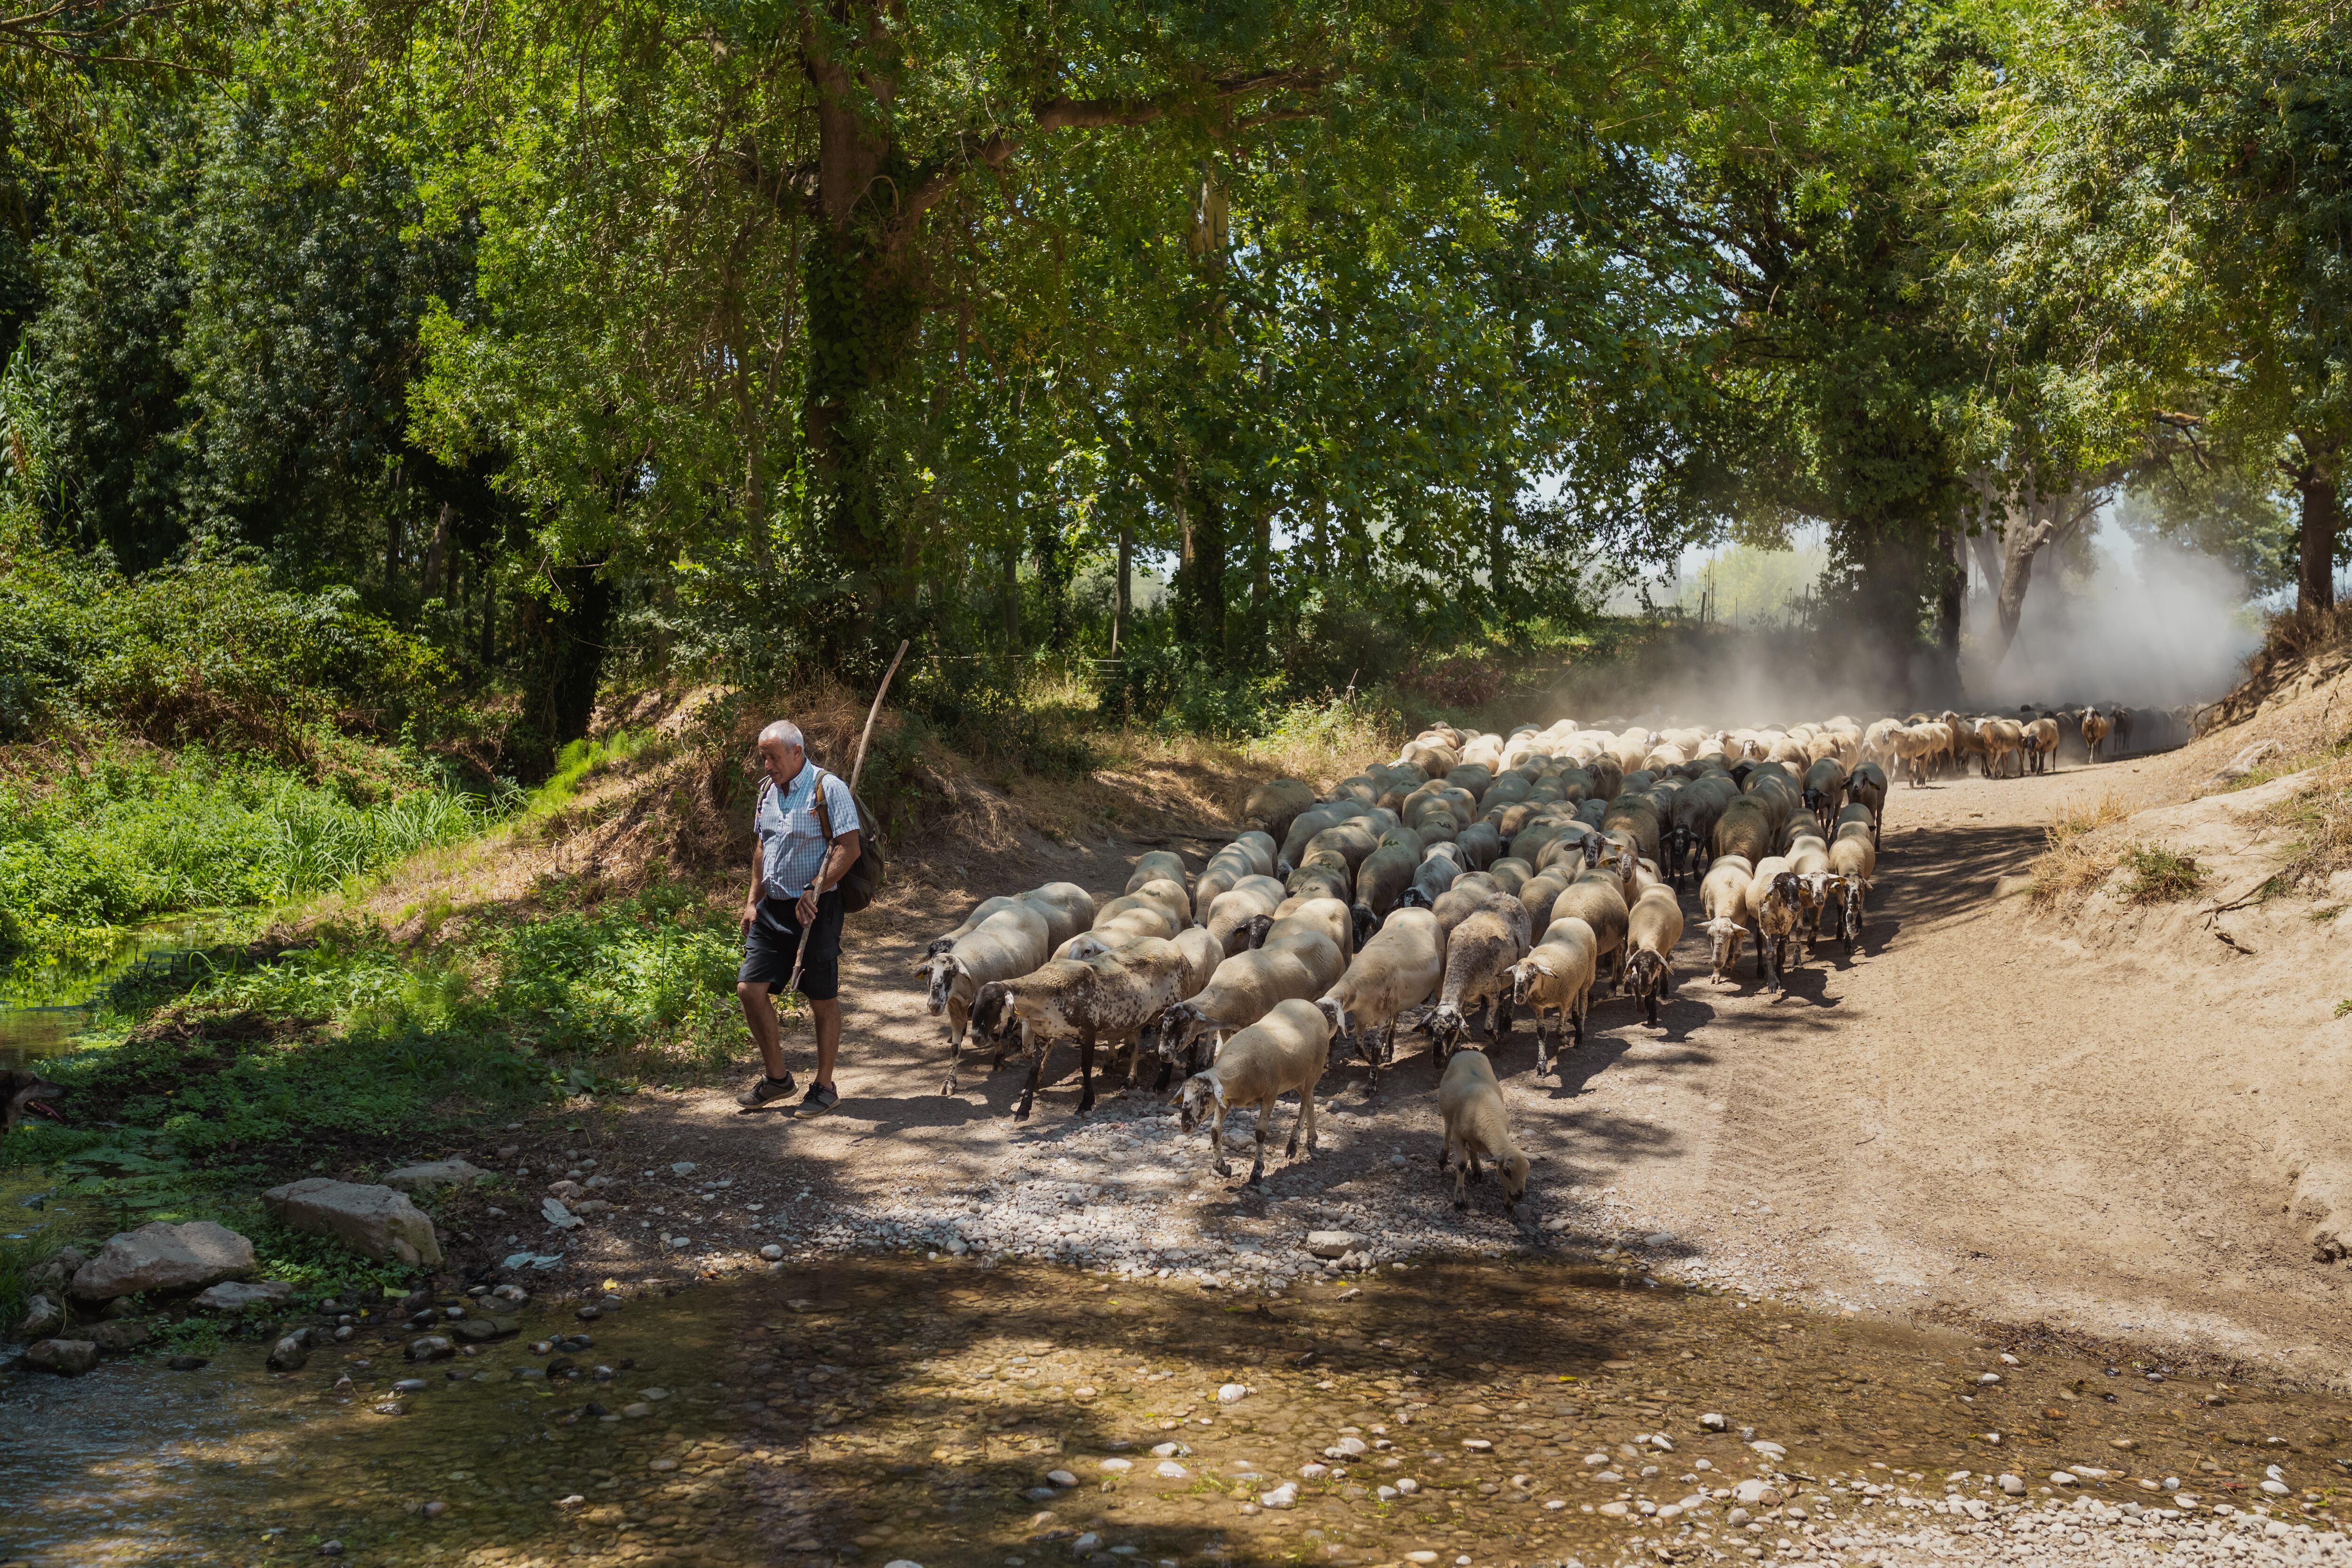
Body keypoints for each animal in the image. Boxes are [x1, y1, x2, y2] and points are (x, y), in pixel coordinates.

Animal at [1317, 907, 1439, 1081]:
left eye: (1329, 1018)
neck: (1357, 984)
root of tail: (1418, 908)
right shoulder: (1360, 1017)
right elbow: (1358, 1047)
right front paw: (1377, 1059)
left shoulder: (1384, 1018)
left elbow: (1375, 1049)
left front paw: (1374, 1076)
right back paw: (1389, 1051)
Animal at [1439, 1048, 1534, 1222]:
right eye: (1507, 1172)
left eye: (1527, 1171)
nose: (1518, 1197)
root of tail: (1468, 1051)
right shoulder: (1458, 1135)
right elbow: (1461, 1165)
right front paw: (1459, 1200)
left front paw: (1508, 1206)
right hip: (1448, 1114)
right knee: (1447, 1130)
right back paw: (1443, 1158)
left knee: (1473, 1148)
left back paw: (1477, 1169)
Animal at [1505, 912, 1599, 1072]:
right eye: (1514, 975)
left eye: (1534, 976)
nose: (1518, 997)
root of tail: (1573, 918)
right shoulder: (1537, 1006)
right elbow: (1541, 1033)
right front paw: (1541, 1064)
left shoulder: (1564, 1002)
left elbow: (1559, 1030)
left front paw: (1565, 1040)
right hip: (1576, 983)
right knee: (1576, 1000)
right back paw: (1576, 1021)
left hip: (1588, 976)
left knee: (1583, 1003)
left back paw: (1579, 1033)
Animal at [1628, 883, 1684, 1029]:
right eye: (1637, 964)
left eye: (1654, 964)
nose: (1644, 989)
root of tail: (1658, 884)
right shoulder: (1632, 951)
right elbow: (1634, 978)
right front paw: (1641, 1008)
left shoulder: (1661, 955)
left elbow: (1654, 985)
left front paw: (1652, 1016)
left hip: (1669, 949)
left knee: (1666, 967)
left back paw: (1664, 991)